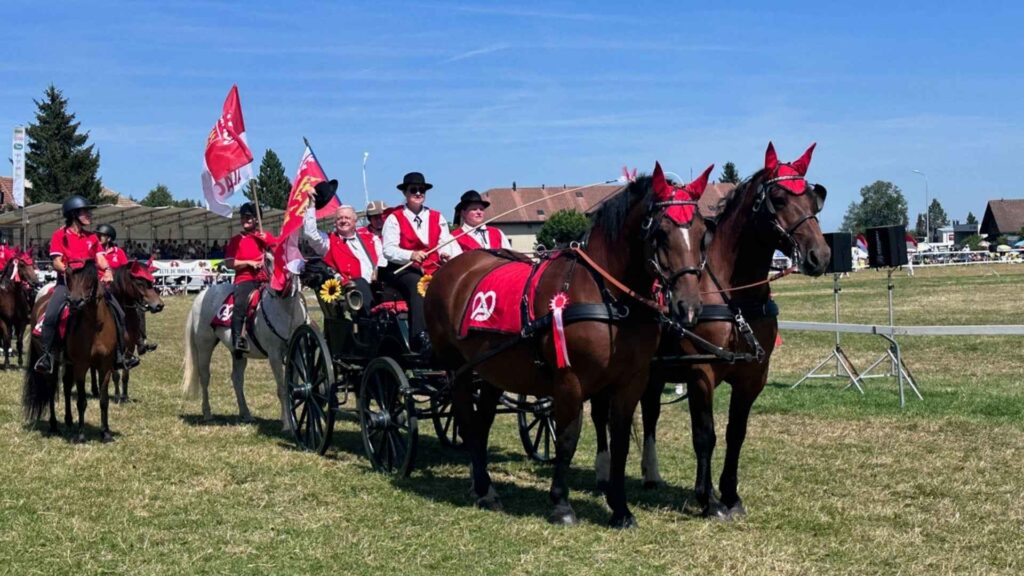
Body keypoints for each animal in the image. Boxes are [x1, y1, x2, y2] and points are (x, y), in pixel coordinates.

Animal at [22, 258, 119, 440]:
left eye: (90, 278)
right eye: (70, 278)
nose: (74, 302)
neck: (95, 326)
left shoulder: (105, 366)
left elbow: (104, 400)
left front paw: (105, 432)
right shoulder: (81, 365)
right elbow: (81, 401)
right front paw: (81, 435)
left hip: (68, 362)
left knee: (66, 385)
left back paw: (68, 420)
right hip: (52, 363)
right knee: (51, 389)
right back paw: (54, 426)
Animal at [182, 276, 307, 428]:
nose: (284, 289)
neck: (285, 309)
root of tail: (202, 295)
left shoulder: (298, 353)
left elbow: (293, 385)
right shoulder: (274, 356)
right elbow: (282, 389)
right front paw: (287, 423)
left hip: (238, 354)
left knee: (237, 380)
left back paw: (246, 414)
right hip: (204, 346)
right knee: (205, 377)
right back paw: (207, 414)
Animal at [593, 142, 831, 516]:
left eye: (812, 197)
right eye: (778, 199)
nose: (819, 255)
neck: (734, 298)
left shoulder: (753, 376)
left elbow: (736, 433)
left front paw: (731, 494)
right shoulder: (701, 373)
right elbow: (705, 434)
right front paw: (708, 499)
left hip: (652, 373)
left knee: (650, 412)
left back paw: (650, 473)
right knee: (601, 414)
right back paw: (603, 473)